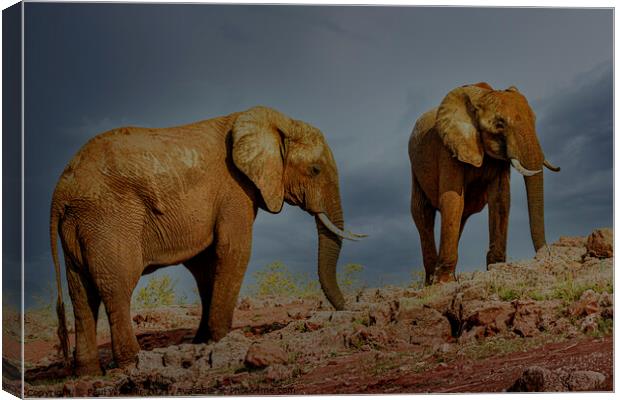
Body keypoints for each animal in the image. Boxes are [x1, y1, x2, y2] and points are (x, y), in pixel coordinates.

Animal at [52, 106, 368, 376]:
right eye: (315, 170)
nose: (347, 308)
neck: (270, 122)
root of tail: (60, 192)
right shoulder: (234, 189)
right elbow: (234, 250)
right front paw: (222, 341)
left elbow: (205, 264)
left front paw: (202, 342)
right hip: (109, 219)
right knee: (116, 286)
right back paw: (133, 364)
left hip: (80, 224)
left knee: (81, 293)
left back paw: (88, 373)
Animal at [410, 83, 560, 284]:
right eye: (499, 124)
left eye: (534, 120)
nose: (544, 257)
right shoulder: (447, 147)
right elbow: (452, 198)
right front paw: (443, 282)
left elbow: (500, 199)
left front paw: (496, 268)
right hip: (415, 168)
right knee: (422, 213)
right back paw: (431, 281)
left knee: (461, 216)